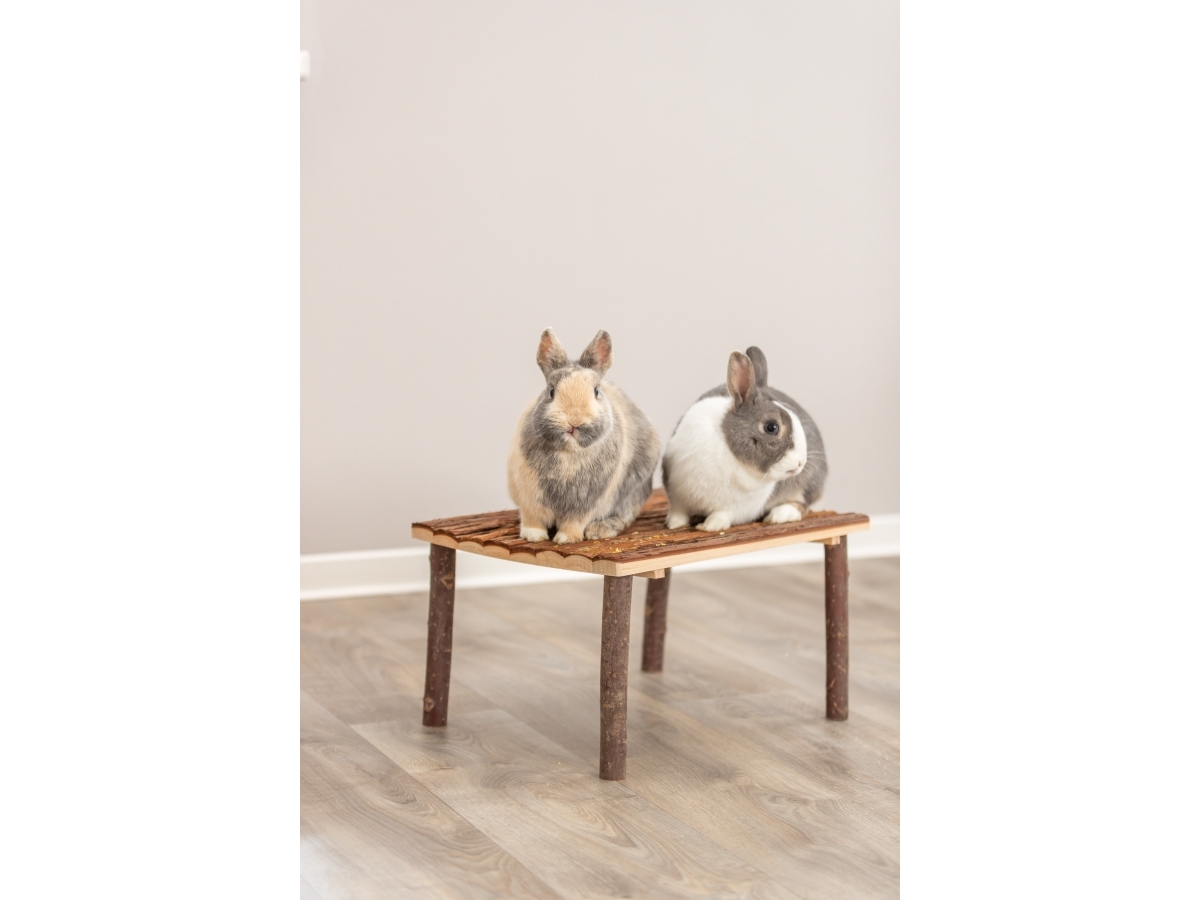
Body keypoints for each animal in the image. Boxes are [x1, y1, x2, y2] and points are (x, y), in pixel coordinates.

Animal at [507, 328, 661, 545]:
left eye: (596, 391)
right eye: (551, 391)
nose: (574, 421)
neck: (569, 452)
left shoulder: (585, 504)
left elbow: (574, 522)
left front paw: (566, 539)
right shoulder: (529, 498)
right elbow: (532, 518)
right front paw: (533, 536)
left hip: (634, 490)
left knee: (624, 516)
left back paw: (600, 530)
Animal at [662, 345, 826, 532]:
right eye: (772, 427)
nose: (801, 463)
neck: (730, 452)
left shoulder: (736, 509)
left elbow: (720, 515)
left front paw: (708, 527)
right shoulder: (677, 496)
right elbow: (678, 511)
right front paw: (674, 525)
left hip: (808, 484)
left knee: (802, 505)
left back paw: (779, 515)